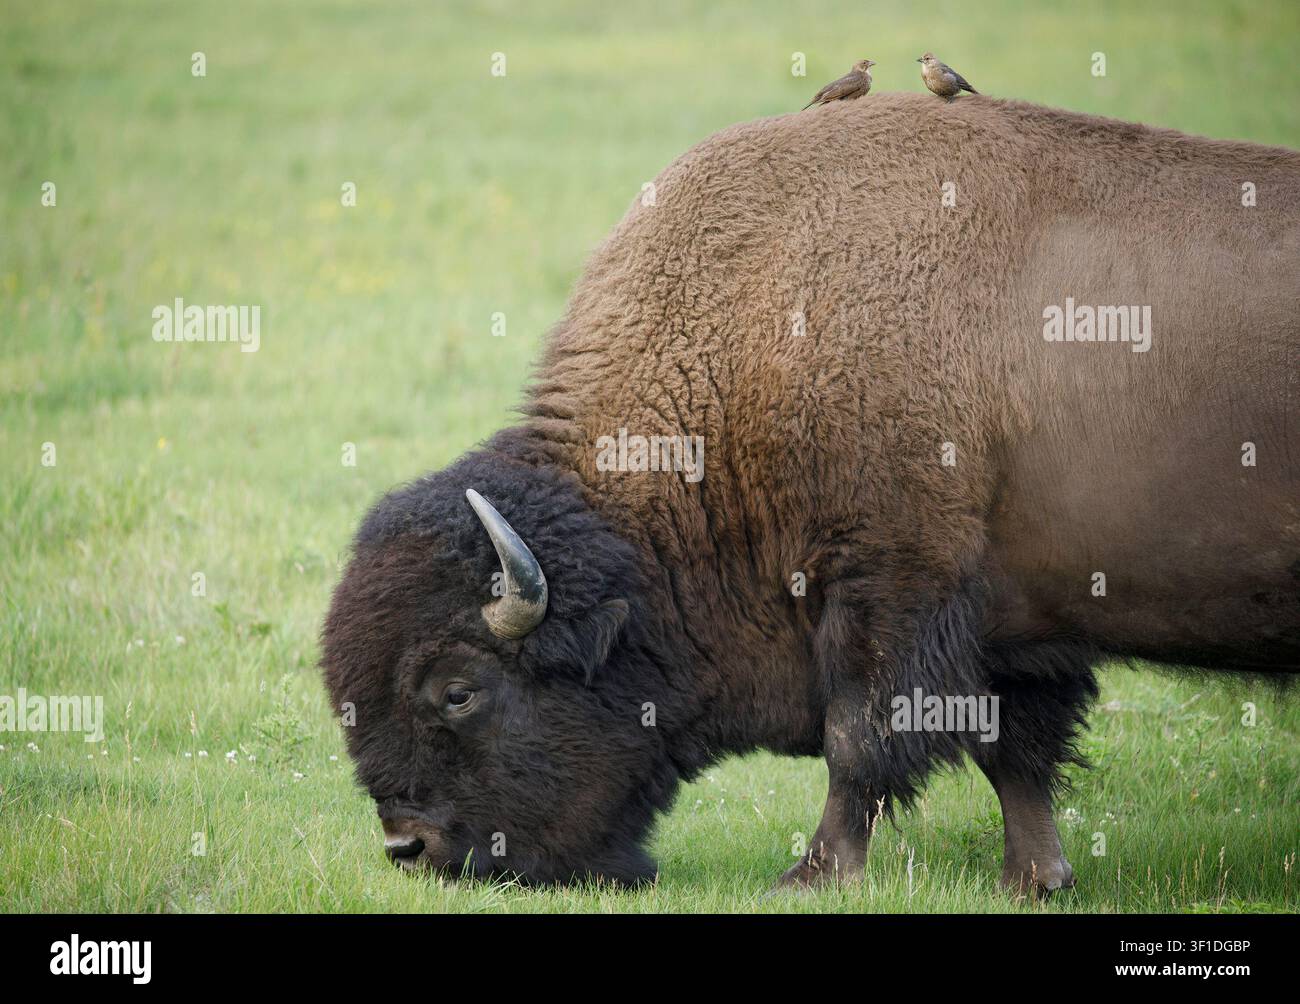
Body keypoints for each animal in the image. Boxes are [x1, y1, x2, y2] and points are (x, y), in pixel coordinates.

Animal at [322, 92, 1299, 894]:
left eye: (458, 691)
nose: (410, 850)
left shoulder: (888, 590)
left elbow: (858, 740)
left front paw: (812, 875)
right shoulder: (1013, 628)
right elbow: (1015, 750)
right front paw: (1037, 879)